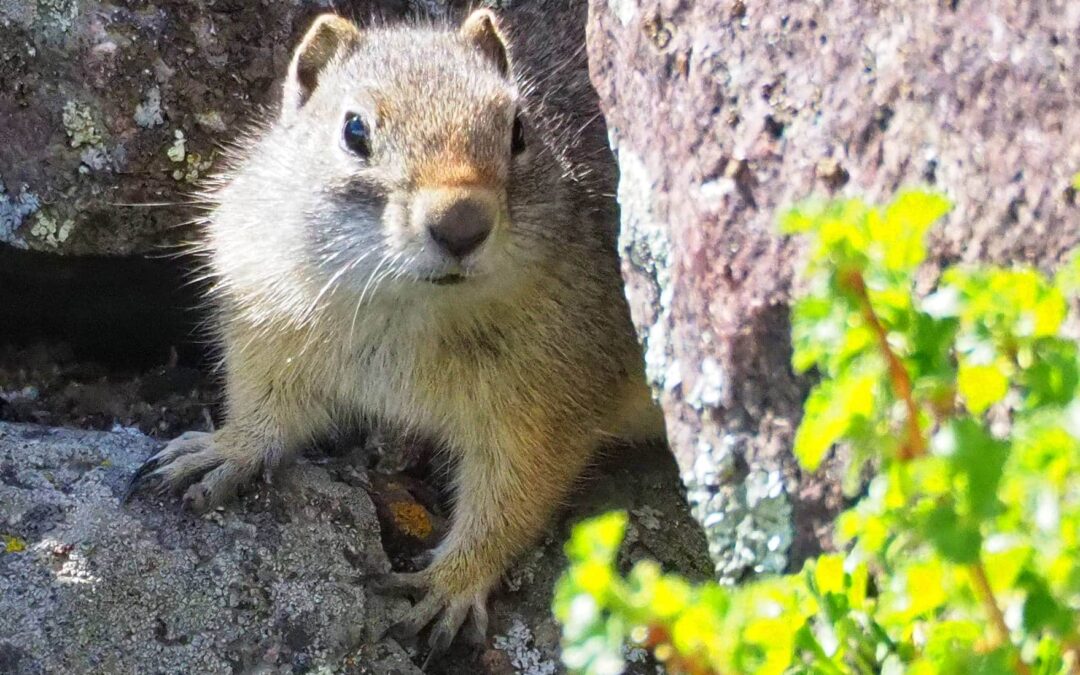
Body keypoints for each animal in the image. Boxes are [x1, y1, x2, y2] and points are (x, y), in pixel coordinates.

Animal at [130, 1, 660, 665]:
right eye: (354, 130)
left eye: (519, 128)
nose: (461, 223)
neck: (405, 307)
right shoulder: (266, 328)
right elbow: (263, 410)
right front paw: (221, 451)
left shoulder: (547, 407)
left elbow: (510, 500)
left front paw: (447, 586)